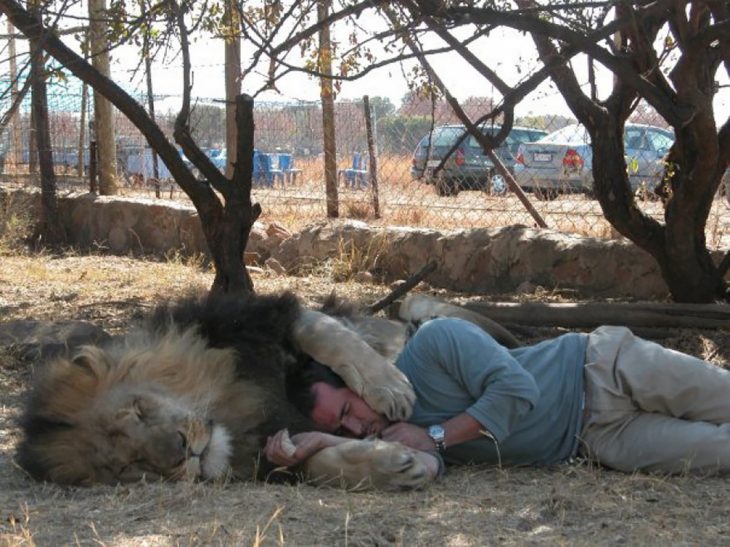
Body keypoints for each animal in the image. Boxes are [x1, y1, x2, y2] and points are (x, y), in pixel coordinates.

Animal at [18, 294, 516, 490]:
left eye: (139, 410)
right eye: (127, 466)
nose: (182, 452)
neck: (231, 402)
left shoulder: (256, 320)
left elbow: (322, 331)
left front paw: (388, 387)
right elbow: (315, 463)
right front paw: (395, 466)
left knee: (422, 309)